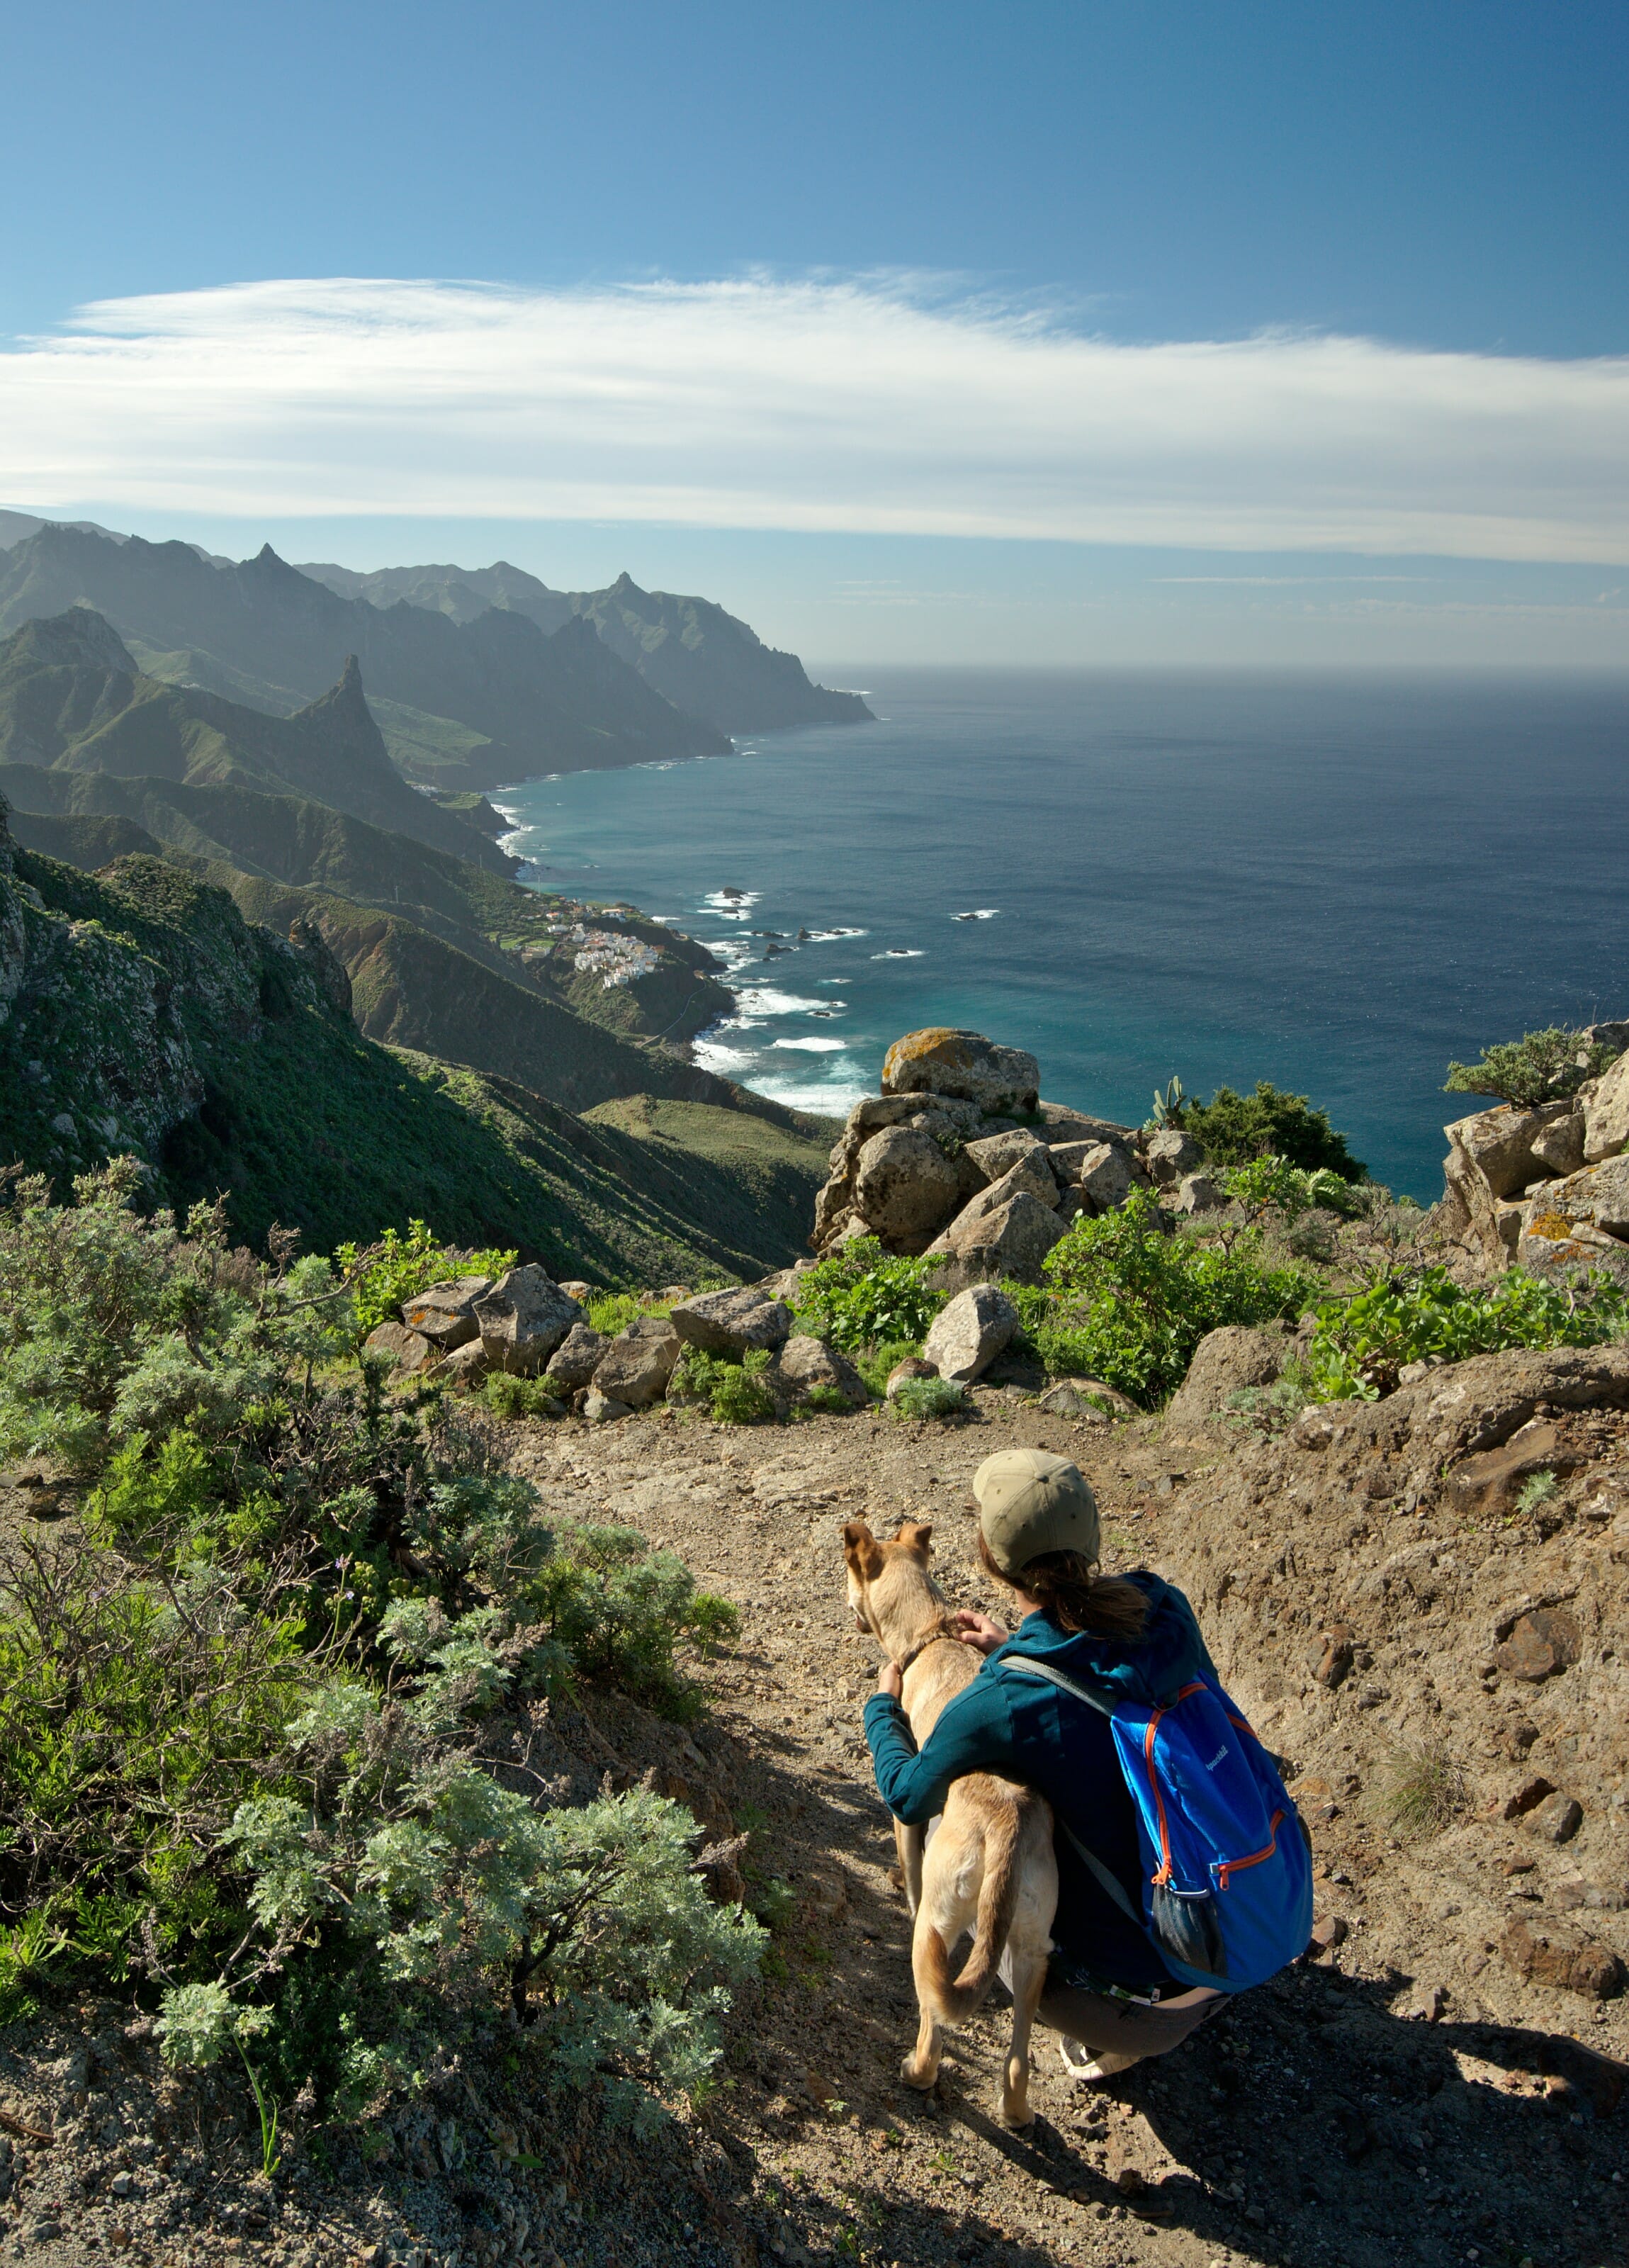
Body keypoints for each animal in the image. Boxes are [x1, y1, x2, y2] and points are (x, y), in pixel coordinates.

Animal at [844, 1524, 1057, 2123]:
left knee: (932, 2026)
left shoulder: (906, 1807)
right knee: (1017, 2061)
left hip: (938, 1927)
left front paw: (900, 1883)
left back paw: (916, 2072)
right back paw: (1016, 2112)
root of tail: (1008, 1822)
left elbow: (908, 1861)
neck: (930, 1634)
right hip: (1032, 1949)